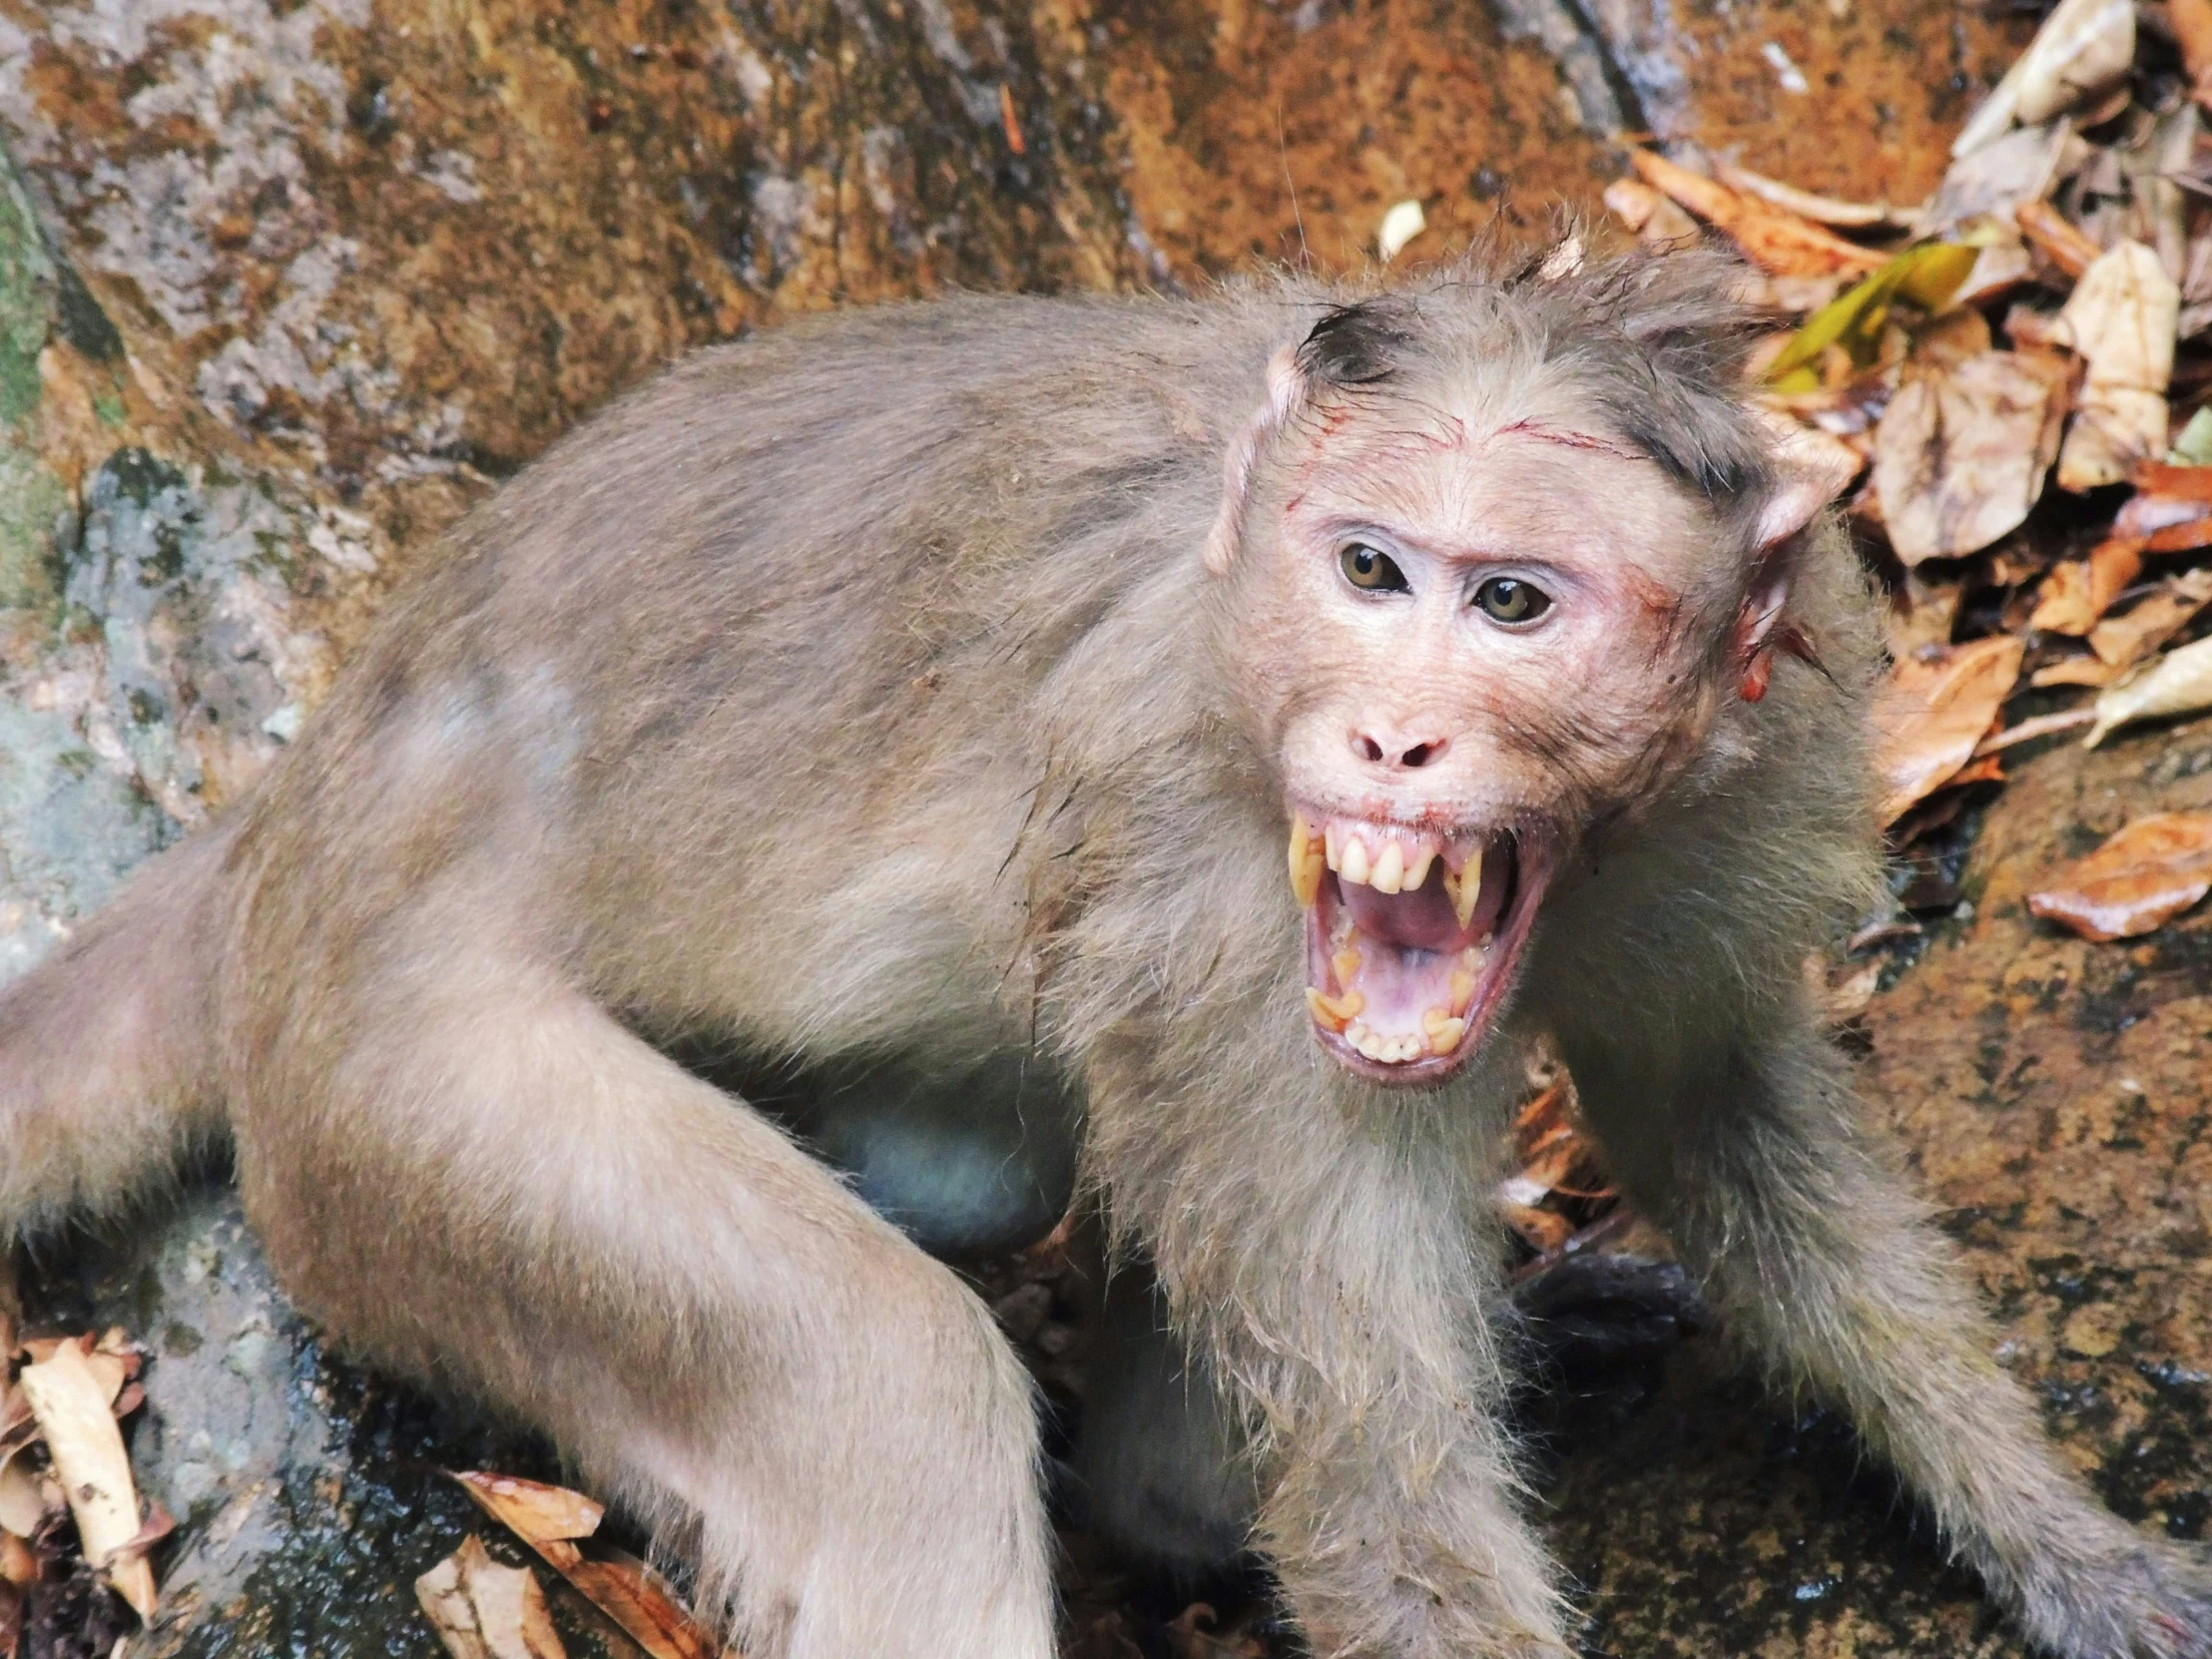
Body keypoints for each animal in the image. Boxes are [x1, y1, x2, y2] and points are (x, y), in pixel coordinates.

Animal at [0, 243, 2203, 1659]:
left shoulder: (1732, 808)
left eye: (1512, 602)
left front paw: (2057, 1536)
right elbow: (1382, 1498)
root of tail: (299, 806)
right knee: (890, 1388)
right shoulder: (1212, 904)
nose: (1392, 738)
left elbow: (1713, 1115)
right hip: (398, 1097)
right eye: (1369, 570)